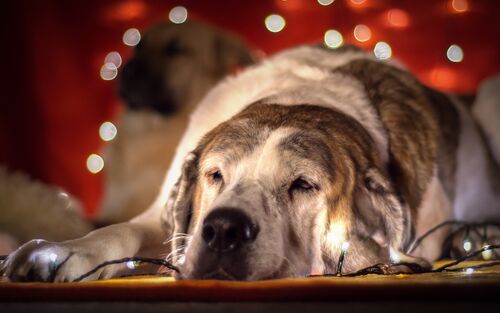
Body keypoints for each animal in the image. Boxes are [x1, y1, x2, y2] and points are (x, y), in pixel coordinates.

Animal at [0, 44, 500, 280]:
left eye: (303, 185)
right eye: (215, 175)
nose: (223, 229)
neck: (298, 99)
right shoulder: (167, 215)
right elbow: (120, 230)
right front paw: (60, 252)